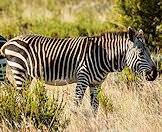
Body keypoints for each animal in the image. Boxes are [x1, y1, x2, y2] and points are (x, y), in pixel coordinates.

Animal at [0, 27, 157, 113]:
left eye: (150, 52)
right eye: (141, 53)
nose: (155, 74)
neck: (104, 55)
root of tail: (9, 41)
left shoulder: (96, 83)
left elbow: (94, 107)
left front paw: (94, 124)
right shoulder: (83, 78)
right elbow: (76, 105)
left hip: (27, 76)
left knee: (22, 96)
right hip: (19, 70)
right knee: (19, 97)